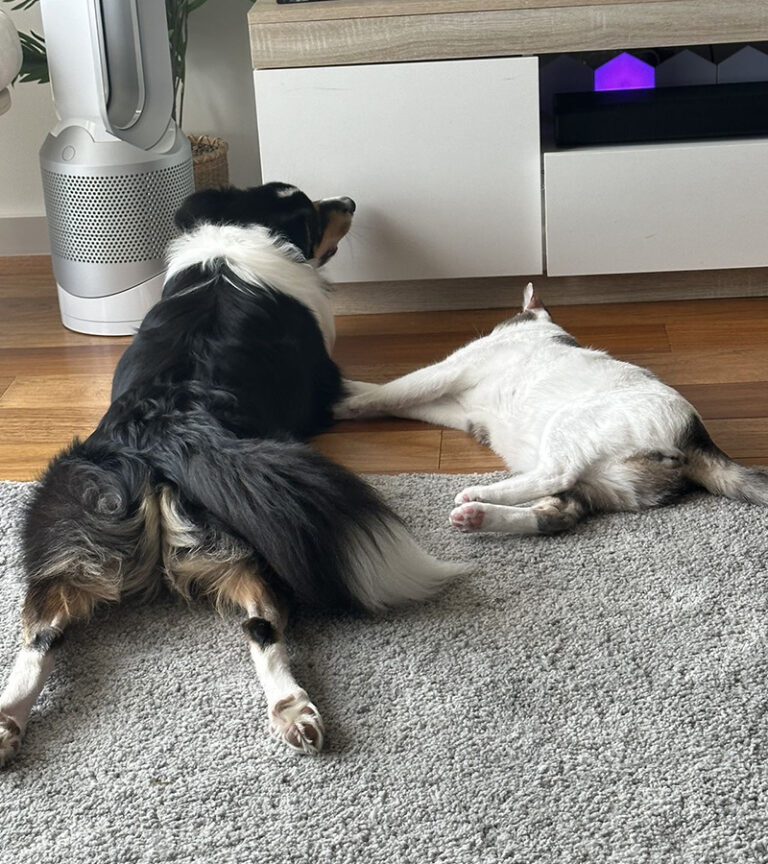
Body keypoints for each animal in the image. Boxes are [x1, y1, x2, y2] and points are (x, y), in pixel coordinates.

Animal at [0, 182, 468, 764]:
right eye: (312, 212)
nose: (351, 202)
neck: (241, 229)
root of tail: (164, 424)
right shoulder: (328, 391)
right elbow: (390, 389)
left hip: (79, 532)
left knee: (40, 636)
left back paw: (7, 722)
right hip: (249, 546)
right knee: (264, 628)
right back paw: (296, 711)